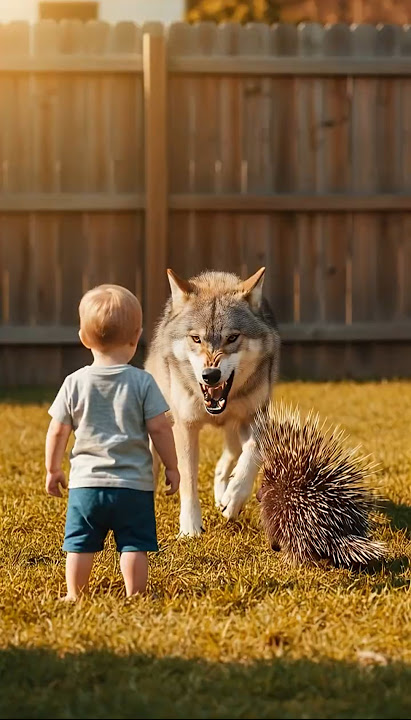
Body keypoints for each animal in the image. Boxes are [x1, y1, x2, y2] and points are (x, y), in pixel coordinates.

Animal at [145, 267, 281, 537]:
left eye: (232, 338)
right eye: (196, 338)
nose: (211, 375)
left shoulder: (256, 416)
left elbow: (254, 453)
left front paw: (234, 498)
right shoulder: (185, 427)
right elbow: (188, 480)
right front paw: (190, 529)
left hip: (234, 431)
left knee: (227, 460)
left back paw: (223, 496)